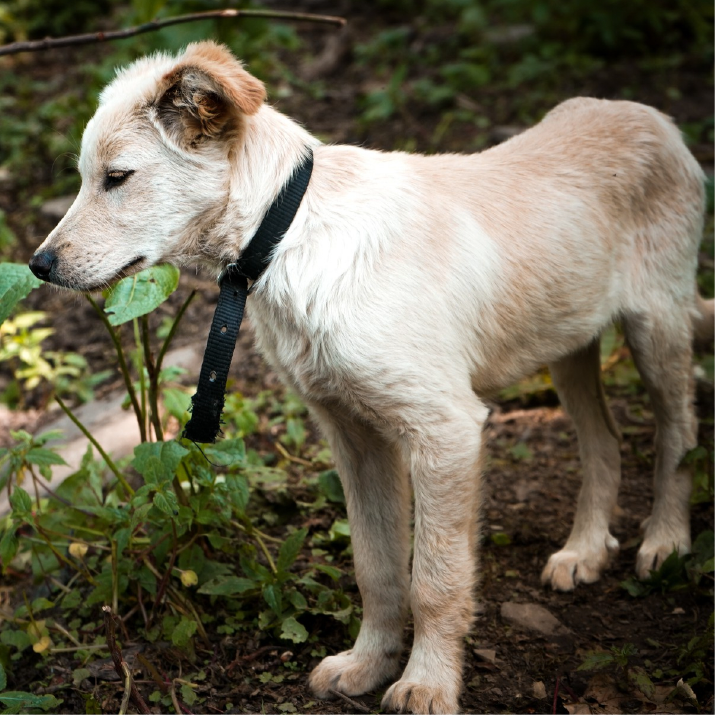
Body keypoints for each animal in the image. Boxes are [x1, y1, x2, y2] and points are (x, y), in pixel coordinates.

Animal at [29, 40, 715, 715]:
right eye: (86, 178)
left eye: (117, 178)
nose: (38, 266)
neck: (292, 237)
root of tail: (651, 116)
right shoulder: (355, 437)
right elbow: (377, 568)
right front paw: (368, 665)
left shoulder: (445, 432)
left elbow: (434, 579)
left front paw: (428, 684)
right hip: (568, 341)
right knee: (605, 439)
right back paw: (585, 551)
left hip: (657, 327)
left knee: (679, 432)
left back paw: (665, 542)